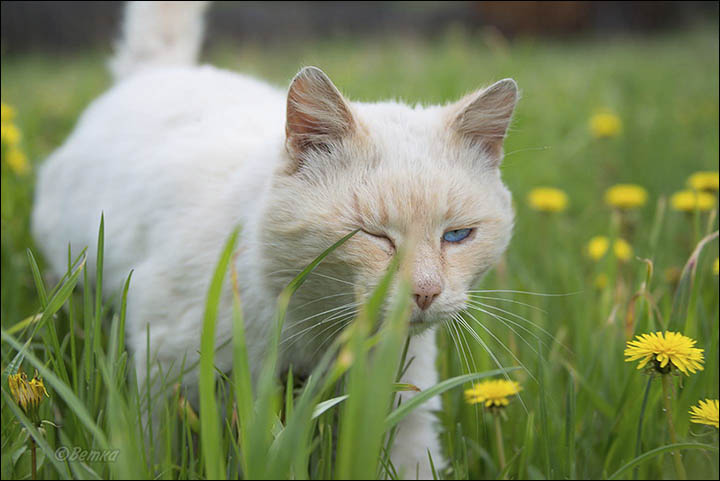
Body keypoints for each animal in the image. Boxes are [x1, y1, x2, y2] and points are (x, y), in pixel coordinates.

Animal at [32, 2, 516, 476]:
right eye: (373, 235)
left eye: (457, 235)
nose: (426, 292)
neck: (314, 328)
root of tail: (160, 73)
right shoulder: (165, 369)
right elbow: (151, 450)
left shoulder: (401, 396)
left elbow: (408, 454)